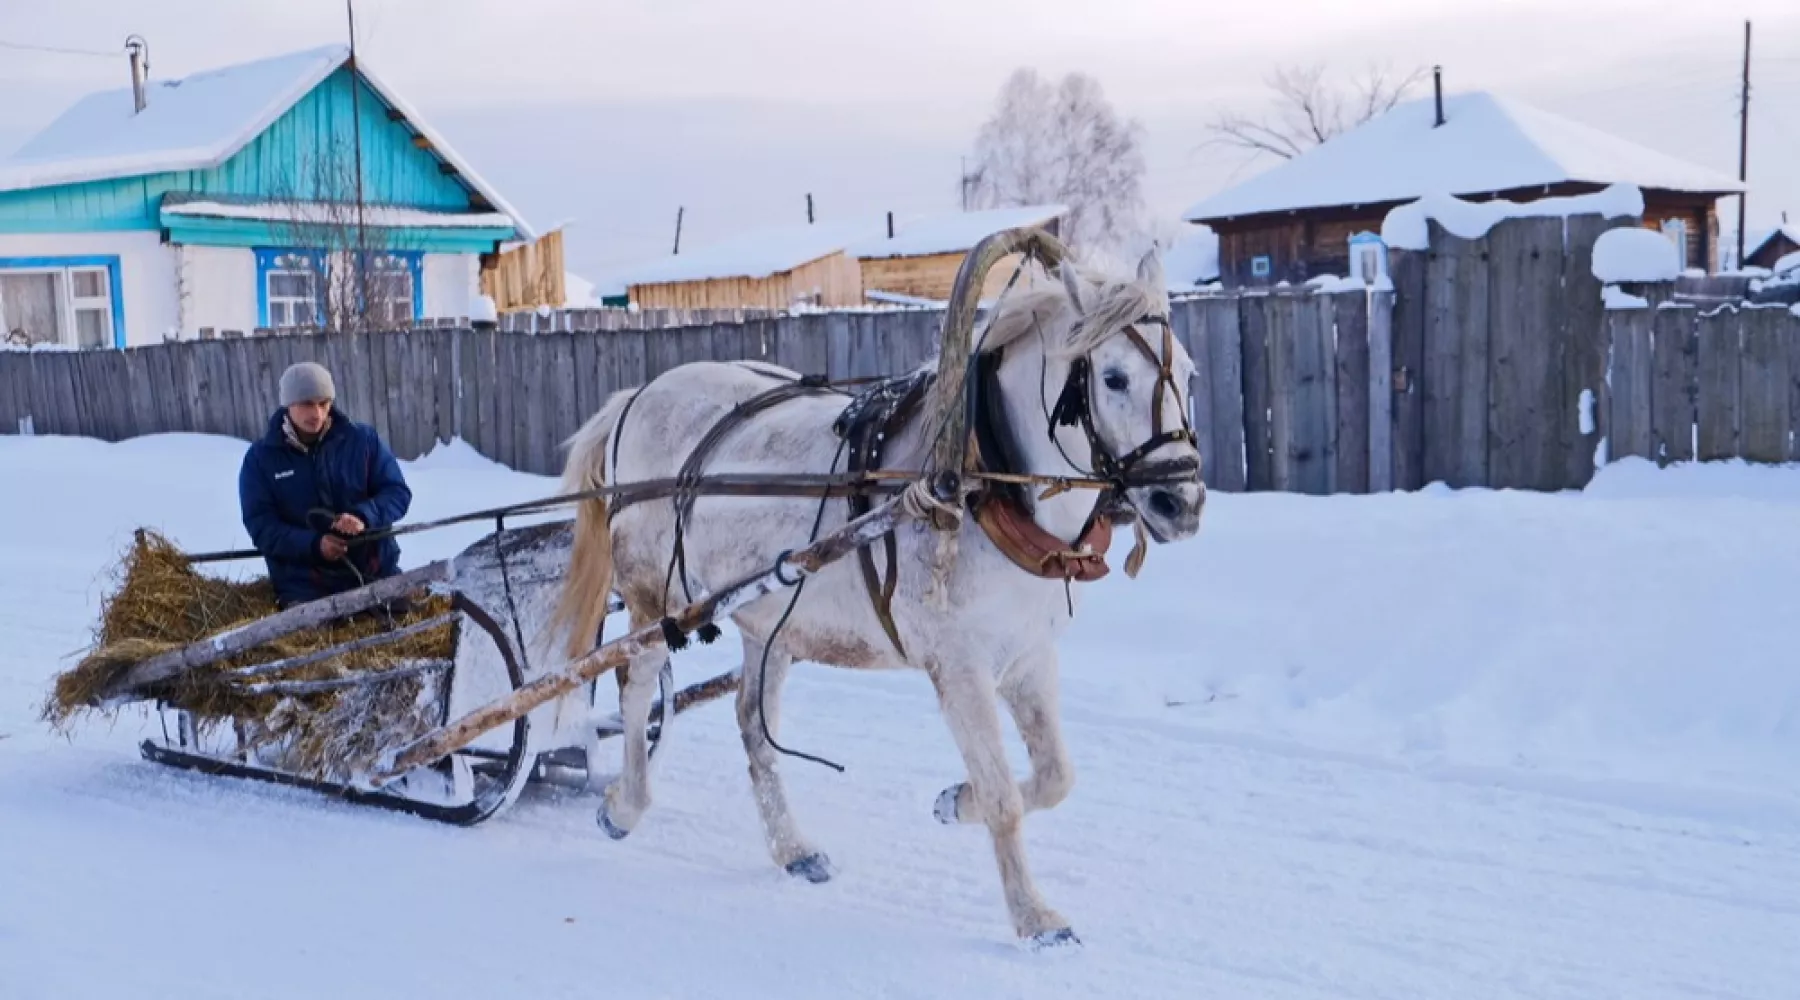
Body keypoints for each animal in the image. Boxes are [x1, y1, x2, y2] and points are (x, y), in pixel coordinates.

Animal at [540, 248, 1202, 942]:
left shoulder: (1028, 657)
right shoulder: (958, 666)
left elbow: (1054, 777)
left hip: (769, 618)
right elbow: (1002, 794)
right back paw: (625, 805)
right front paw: (1034, 916)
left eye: (1188, 373)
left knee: (752, 722)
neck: (975, 482)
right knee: (637, 688)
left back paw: (792, 848)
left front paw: (954, 801)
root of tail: (637, 397)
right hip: (651, 596)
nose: (1180, 501)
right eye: (1114, 378)